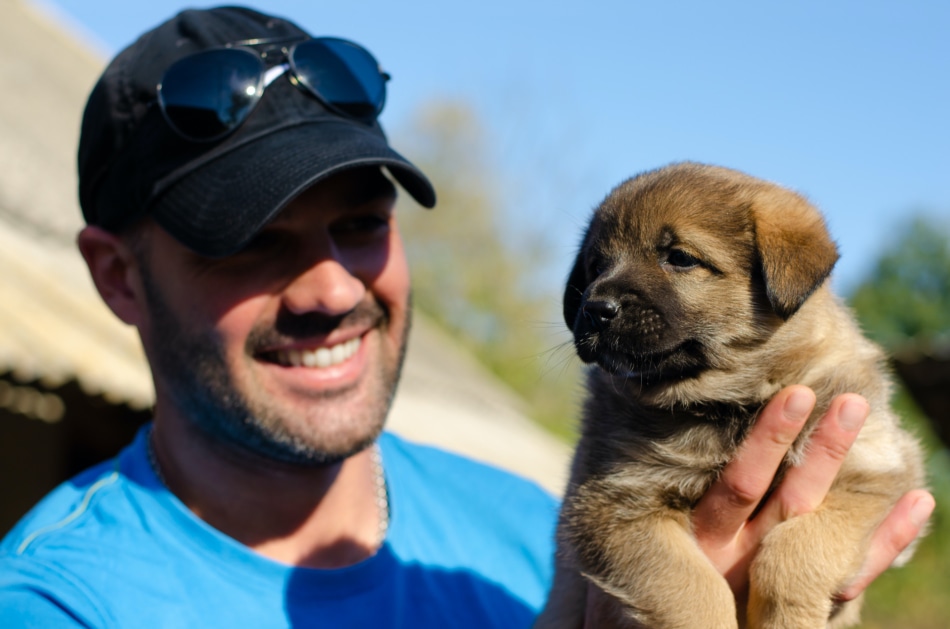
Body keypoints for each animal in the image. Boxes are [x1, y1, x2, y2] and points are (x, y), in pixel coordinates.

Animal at [540, 163, 924, 628]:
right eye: (596, 265)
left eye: (680, 258)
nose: (595, 309)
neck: (733, 404)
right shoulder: (614, 505)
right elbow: (694, 591)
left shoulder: (872, 475)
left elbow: (794, 550)